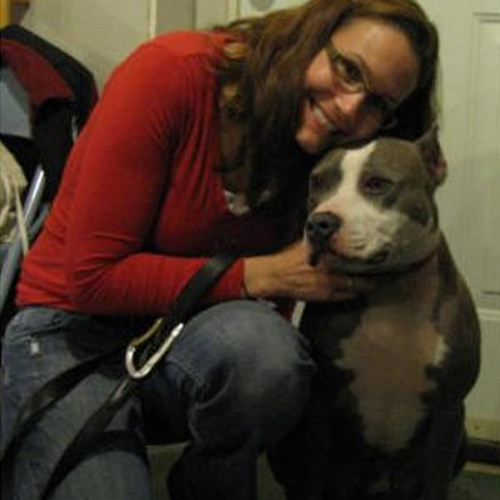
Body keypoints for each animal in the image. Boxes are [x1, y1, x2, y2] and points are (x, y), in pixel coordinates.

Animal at [270, 128, 480, 500]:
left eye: (377, 183)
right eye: (317, 182)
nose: (319, 223)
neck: (390, 292)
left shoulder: (448, 411)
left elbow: (436, 482)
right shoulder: (320, 406)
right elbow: (312, 478)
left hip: (462, 441)